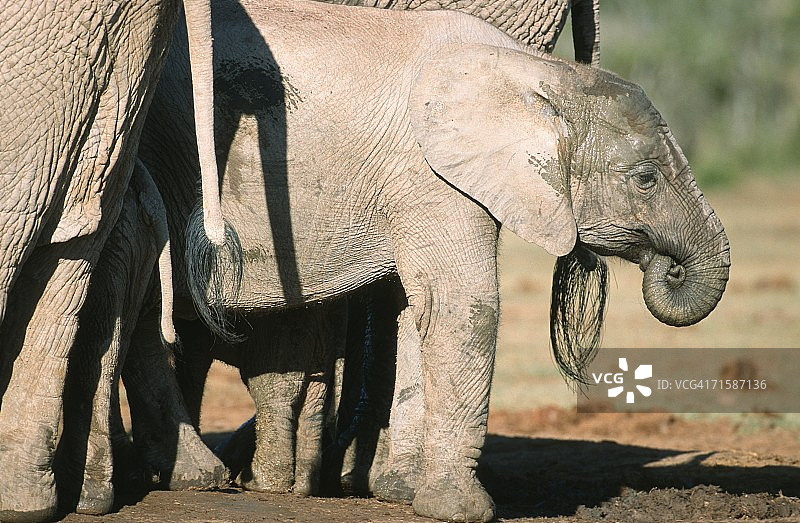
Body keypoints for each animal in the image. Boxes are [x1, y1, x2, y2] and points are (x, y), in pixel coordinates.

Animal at [130, 0, 730, 520]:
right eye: (645, 179)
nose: (667, 267)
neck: (537, 74)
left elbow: (415, 313)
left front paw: (399, 492)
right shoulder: (431, 175)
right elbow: (464, 309)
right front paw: (460, 511)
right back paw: (198, 478)